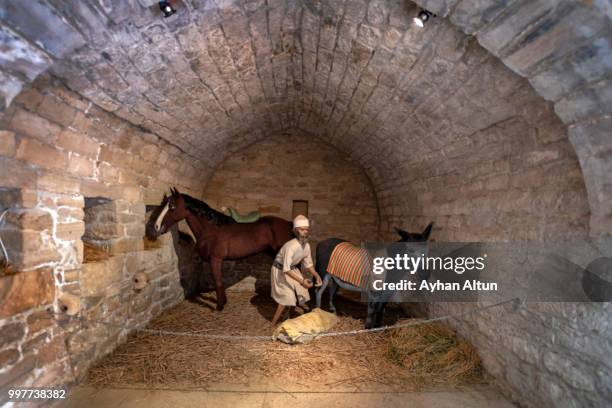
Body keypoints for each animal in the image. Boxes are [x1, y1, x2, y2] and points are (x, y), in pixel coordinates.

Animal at [146, 188, 294, 310]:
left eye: (172, 206)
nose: (156, 227)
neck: (211, 230)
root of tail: (288, 224)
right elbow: (220, 280)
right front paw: (224, 301)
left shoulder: (215, 259)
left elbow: (217, 281)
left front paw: (220, 306)